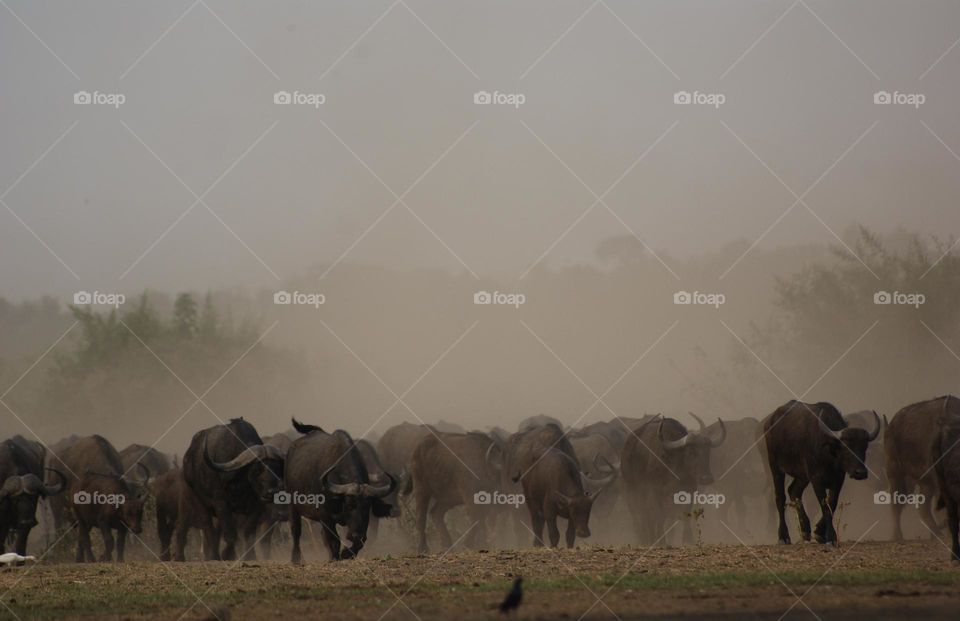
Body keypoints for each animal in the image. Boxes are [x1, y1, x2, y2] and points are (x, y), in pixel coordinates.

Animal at [175, 418, 284, 560]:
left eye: (276, 469)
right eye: (256, 470)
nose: (271, 492)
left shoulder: (257, 506)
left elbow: (249, 532)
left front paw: (250, 556)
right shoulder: (221, 504)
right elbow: (230, 534)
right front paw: (228, 555)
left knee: (214, 530)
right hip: (193, 500)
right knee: (203, 527)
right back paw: (207, 556)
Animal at [620, 414, 724, 544]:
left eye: (707, 452)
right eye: (691, 452)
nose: (707, 478)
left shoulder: (689, 490)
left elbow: (685, 514)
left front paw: (688, 539)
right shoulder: (655, 491)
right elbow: (659, 516)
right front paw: (662, 541)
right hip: (631, 490)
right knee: (640, 515)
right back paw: (646, 538)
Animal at [764, 402, 876, 544]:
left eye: (864, 447)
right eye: (846, 448)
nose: (860, 472)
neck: (828, 451)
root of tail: (769, 422)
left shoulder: (838, 479)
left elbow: (832, 503)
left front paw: (820, 533)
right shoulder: (816, 479)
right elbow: (824, 504)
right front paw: (830, 537)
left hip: (803, 475)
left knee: (794, 491)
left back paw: (805, 530)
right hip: (775, 466)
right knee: (780, 498)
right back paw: (783, 537)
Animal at [884, 398, 952, 536]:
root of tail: (890, 426)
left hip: (925, 482)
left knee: (923, 509)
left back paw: (937, 533)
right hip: (895, 474)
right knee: (896, 504)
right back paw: (897, 536)